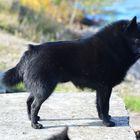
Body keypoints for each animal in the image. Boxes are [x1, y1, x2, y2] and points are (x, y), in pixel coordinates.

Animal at [1, 16, 140, 129]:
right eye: (138, 39)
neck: (114, 46)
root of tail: (31, 50)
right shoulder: (105, 87)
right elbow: (105, 105)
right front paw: (107, 123)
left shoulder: (100, 89)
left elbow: (99, 106)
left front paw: (102, 119)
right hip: (44, 89)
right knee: (35, 105)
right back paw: (35, 125)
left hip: (39, 87)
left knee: (29, 101)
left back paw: (32, 119)